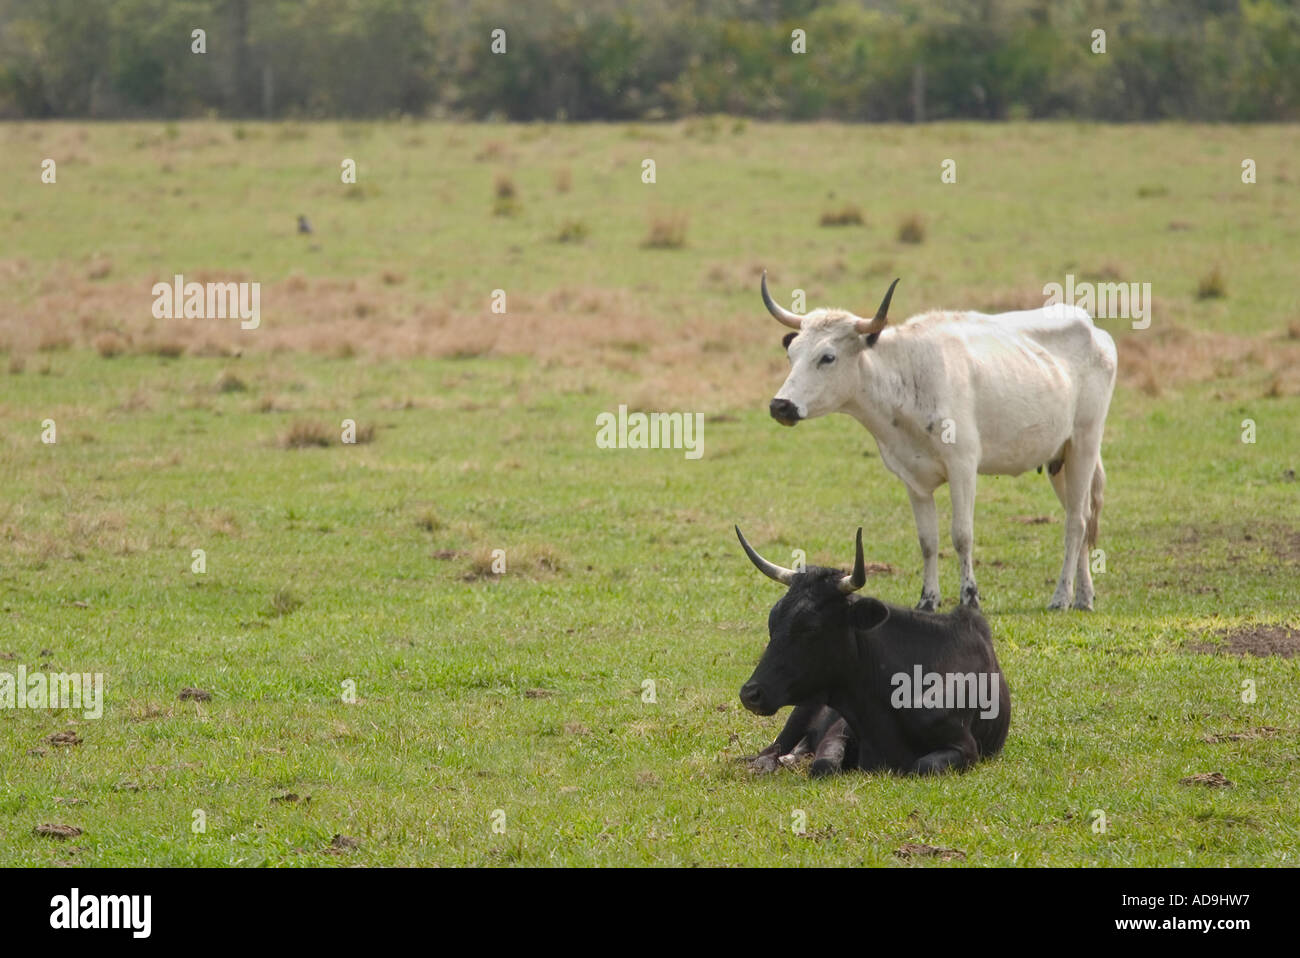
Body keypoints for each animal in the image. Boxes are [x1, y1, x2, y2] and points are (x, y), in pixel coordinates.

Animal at [738, 527, 1008, 774]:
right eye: (772, 622)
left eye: (811, 628)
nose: (750, 694)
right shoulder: (839, 728)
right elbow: (825, 764)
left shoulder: (965, 747)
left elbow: (923, 765)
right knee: (775, 747)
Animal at [759, 272, 1118, 608]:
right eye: (791, 355)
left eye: (828, 357)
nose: (780, 405)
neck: (905, 376)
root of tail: (1093, 329)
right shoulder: (912, 479)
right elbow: (927, 540)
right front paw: (928, 599)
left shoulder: (963, 467)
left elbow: (961, 534)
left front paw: (970, 596)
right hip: (1060, 459)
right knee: (1081, 516)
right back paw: (1084, 596)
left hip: (1085, 442)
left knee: (1075, 522)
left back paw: (1061, 597)